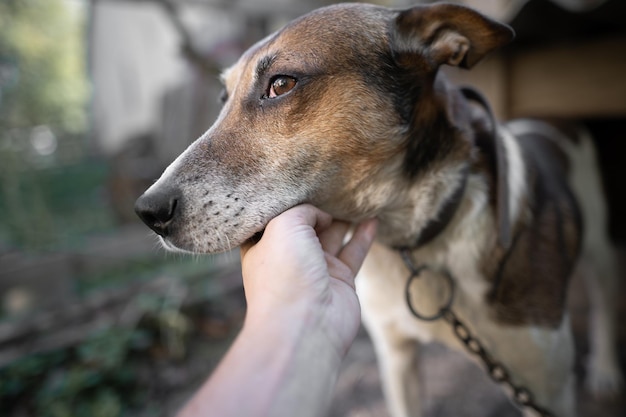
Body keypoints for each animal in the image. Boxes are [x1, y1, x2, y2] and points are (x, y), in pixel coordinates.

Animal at [134, 1, 620, 414]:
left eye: (281, 84)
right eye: (223, 101)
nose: (148, 212)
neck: (415, 236)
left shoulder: (546, 385)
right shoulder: (396, 358)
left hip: (600, 243)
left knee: (604, 295)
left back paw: (606, 369)